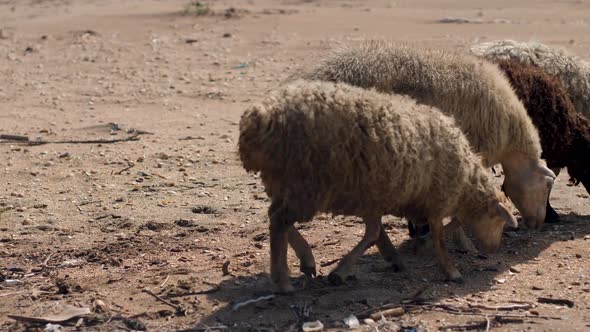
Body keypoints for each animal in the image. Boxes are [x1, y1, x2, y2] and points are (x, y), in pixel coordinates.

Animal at [239, 79, 520, 292]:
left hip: (288, 184)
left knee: (275, 216)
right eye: (499, 220)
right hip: (306, 184)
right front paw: (451, 272)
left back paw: (306, 261)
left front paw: (372, 263)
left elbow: (374, 233)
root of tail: (259, 119)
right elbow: (437, 238)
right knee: (279, 222)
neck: (465, 183)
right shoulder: (435, 199)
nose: (492, 250)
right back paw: (283, 281)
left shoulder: (374, 195)